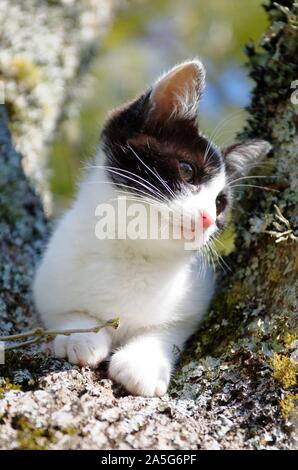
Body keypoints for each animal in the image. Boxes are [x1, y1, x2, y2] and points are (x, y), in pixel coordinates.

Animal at [33, 60, 272, 394]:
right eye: (187, 170)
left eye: (220, 204)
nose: (208, 218)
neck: (135, 255)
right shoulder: (49, 275)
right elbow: (63, 311)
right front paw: (79, 335)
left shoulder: (196, 297)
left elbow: (167, 331)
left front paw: (142, 364)